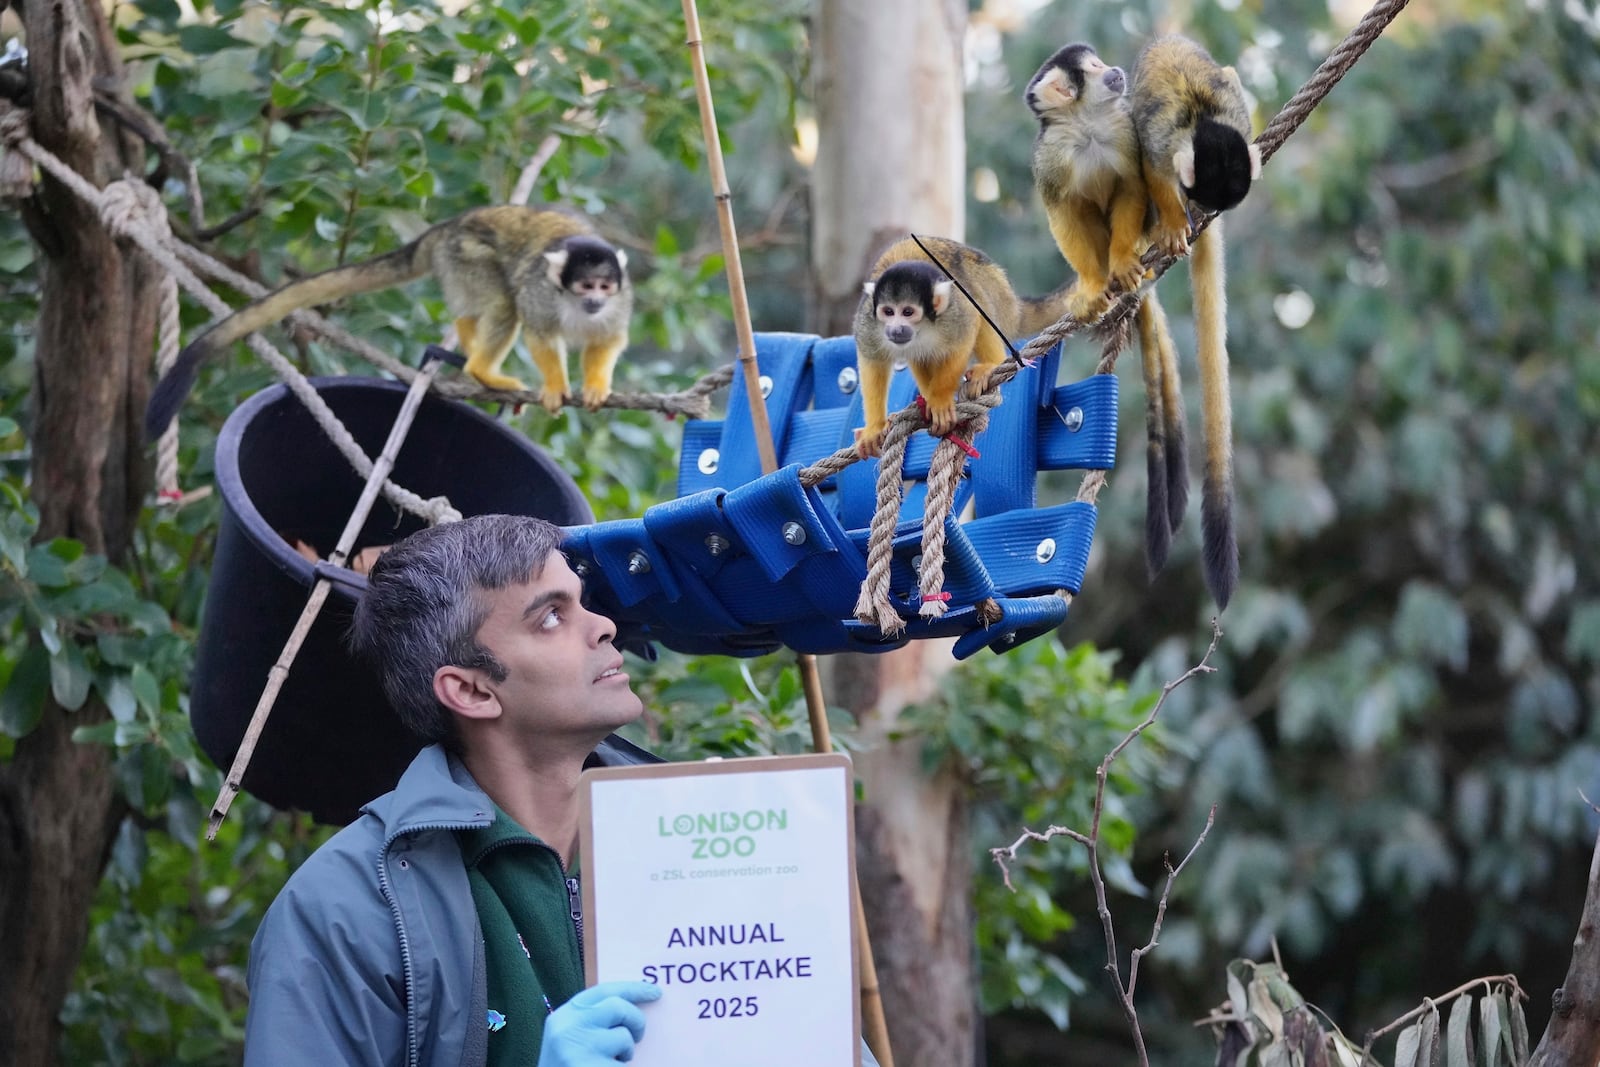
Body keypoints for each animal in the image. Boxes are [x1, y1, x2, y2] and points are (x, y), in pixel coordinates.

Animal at [144, 204, 630, 438]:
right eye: (586, 286)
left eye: (605, 287)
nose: (595, 301)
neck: (574, 304)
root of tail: (447, 227)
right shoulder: (542, 294)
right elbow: (538, 329)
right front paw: (555, 386)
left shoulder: (622, 301)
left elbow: (609, 339)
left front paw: (596, 386)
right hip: (466, 255)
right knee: (503, 301)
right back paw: (481, 369)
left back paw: (470, 348)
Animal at [857, 238, 1068, 460]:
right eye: (888, 312)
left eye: (907, 312)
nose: (895, 329)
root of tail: (1015, 307)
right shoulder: (869, 320)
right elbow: (872, 360)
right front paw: (874, 428)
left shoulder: (954, 313)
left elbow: (967, 329)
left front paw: (940, 399)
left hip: (997, 290)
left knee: (977, 299)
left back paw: (991, 364)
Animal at [1024, 43, 1152, 319]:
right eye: (1095, 66)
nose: (1113, 69)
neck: (1086, 123)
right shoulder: (1050, 155)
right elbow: (1062, 214)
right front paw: (1092, 284)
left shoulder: (1124, 130)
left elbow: (1131, 187)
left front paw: (1122, 260)